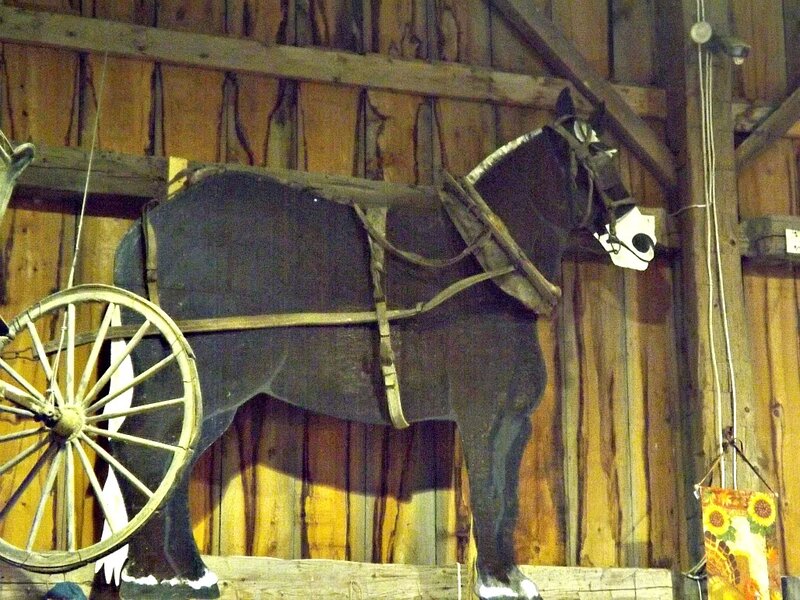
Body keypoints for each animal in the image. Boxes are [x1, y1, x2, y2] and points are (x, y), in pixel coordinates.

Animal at [108, 88, 655, 600]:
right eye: (598, 152)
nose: (643, 239)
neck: (486, 265)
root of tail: (147, 224)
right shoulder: (483, 415)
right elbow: (489, 494)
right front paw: (496, 581)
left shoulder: (512, 422)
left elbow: (508, 502)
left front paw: (510, 579)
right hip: (205, 380)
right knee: (143, 454)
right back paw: (153, 574)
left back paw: (186, 572)